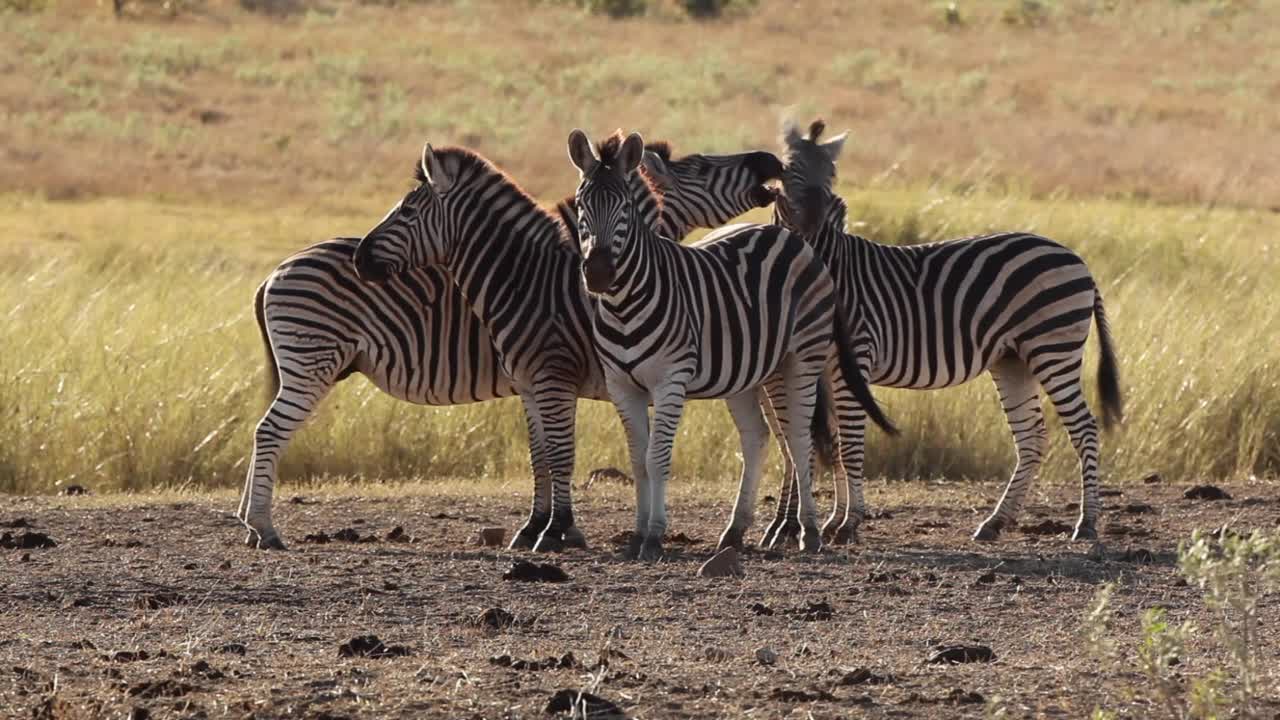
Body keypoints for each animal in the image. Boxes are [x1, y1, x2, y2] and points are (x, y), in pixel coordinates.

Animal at [235, 137, 783, 545]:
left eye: (408, 210)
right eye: (703, 165)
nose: (770, 162)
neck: (525, 277)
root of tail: (274, 273)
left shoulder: (542, 380)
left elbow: (547, 454)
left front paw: (544, 529)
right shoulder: (550, 378)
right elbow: (555, 453)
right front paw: (557, 531)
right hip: (311, 363)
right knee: (270, 431)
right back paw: (261, 526)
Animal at [565, 130, 896, 561]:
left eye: (624, 207)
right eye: (581, 205)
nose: (599, 273)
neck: (624, 304)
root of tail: (789, 237)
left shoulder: (670, 380)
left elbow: (657, 458)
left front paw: (654, 537)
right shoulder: (622, 386)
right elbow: (637, 461)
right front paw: (636, 536)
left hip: (800, 360)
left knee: (800, 439)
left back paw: (809, 531)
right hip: (750, 373)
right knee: (758, 438)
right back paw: (735, 531)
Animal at [762, 119, 1126, 543]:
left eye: (832, 176)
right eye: (790, 171)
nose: (816, 225)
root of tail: (1076, 258)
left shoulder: (854, 359)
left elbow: (848, 444)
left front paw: (848, 523)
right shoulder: (818, 367)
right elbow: (825, 444)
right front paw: (831, 521)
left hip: (1053, 348)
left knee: (1084, 428)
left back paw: (1086, 523)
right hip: (1012, 359)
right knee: (1032, 437)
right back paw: (995, 522)